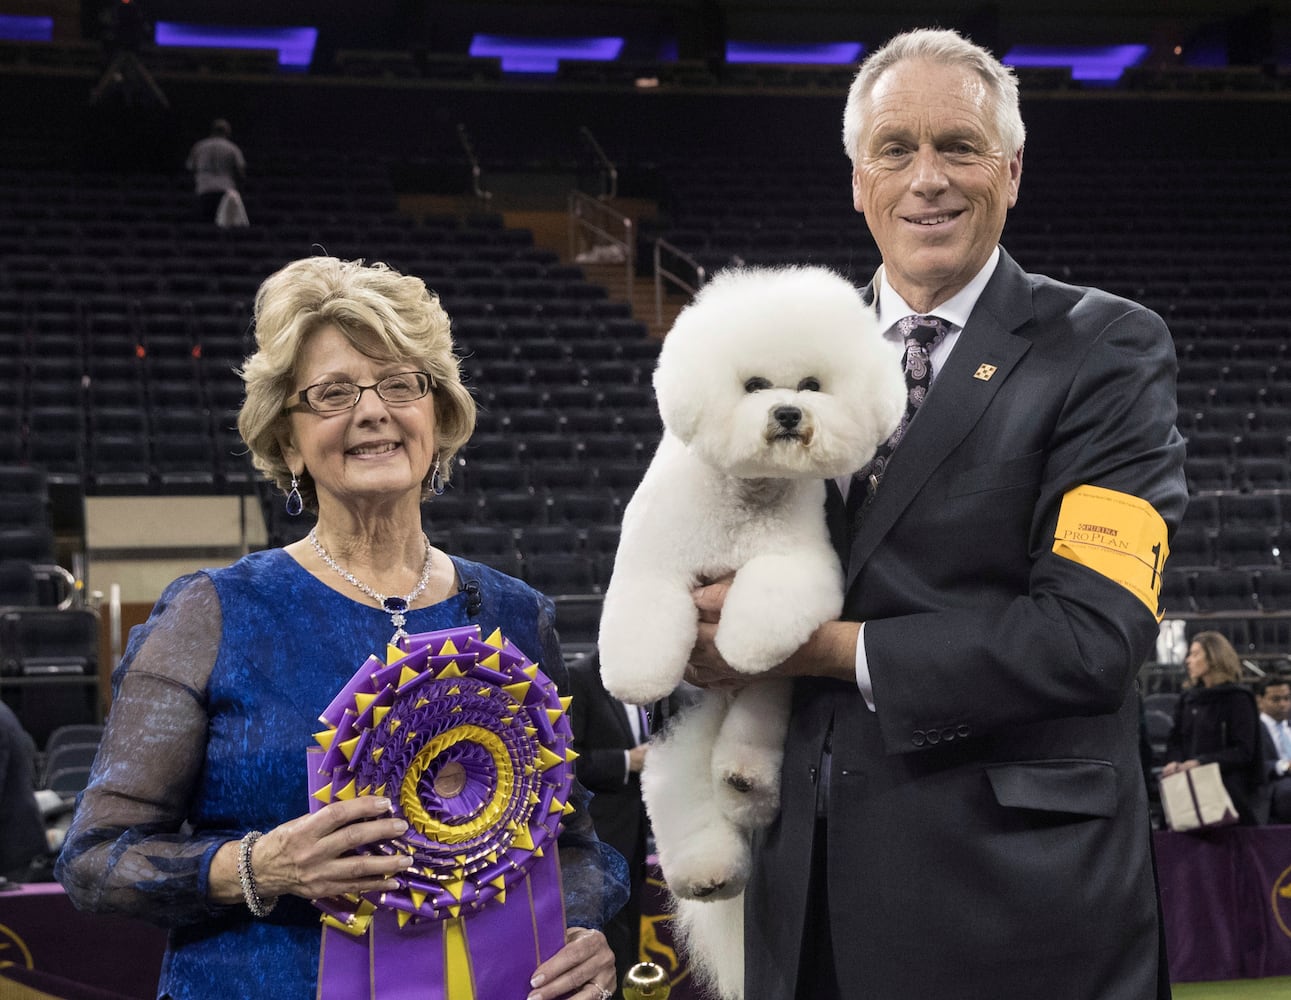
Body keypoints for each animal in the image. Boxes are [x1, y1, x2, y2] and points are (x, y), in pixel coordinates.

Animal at [599, 264, 903, 1000]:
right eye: (755, 385)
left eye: (813, 385)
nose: (788, 414)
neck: (746, 497)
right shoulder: (653, 559)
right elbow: (641, 615)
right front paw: (636, 671)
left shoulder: (804, 566)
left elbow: (767, 600)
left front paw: (739, 641)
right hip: (681, 733)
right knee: (681, 792)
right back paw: (707, 867)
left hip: (767, 703)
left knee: (751, 745)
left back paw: (746, 781)